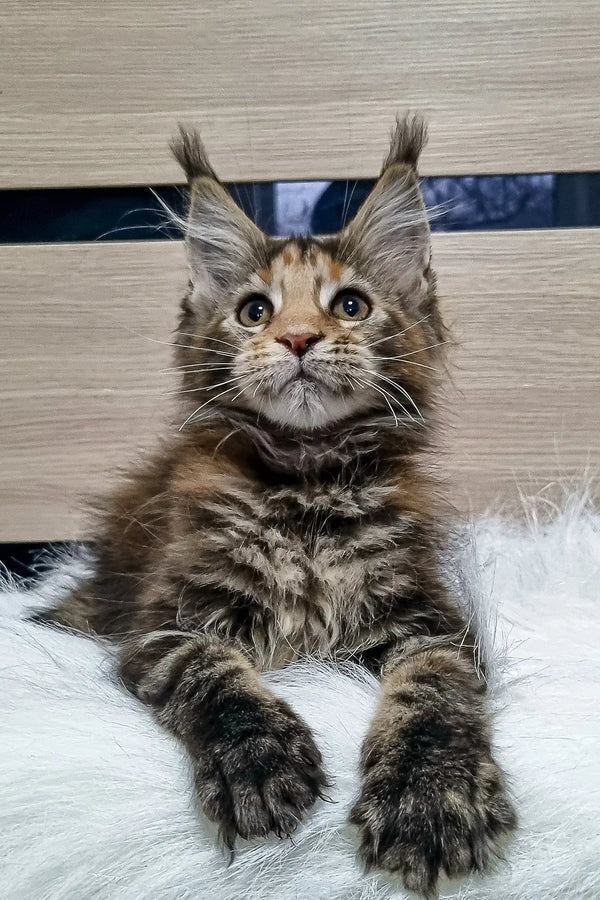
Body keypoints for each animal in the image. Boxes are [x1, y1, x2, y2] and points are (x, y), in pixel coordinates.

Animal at [36, 118, 516, 892]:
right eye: (254, 311)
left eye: (350, 305)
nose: (295, 338)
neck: (306, 489)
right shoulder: (164, 623)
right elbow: (213, 676)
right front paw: (258, 763)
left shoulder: (434, 625)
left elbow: (431, 695)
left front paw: (428, 795)